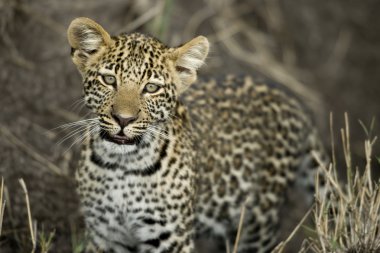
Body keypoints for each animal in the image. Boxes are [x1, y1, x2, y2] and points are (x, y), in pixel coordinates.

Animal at [67, 17, 328, 253]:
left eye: (151, 88)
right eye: (109, 79)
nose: (123, 119)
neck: (121, 167)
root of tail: (293, 100)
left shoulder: (171, 237)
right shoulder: (105, 235)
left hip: (258, 222)